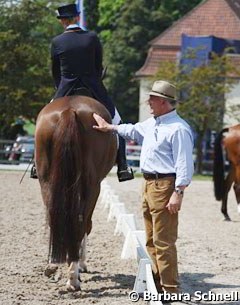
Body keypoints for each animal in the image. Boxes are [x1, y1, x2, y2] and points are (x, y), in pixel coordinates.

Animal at [34, 95, 117, 290]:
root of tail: (69, 110)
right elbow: (86, 224)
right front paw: (82, 265)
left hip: (46, 181)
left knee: (54, 218)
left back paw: (54, 266)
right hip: (92, 186)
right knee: (81, 223)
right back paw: (73, 277)